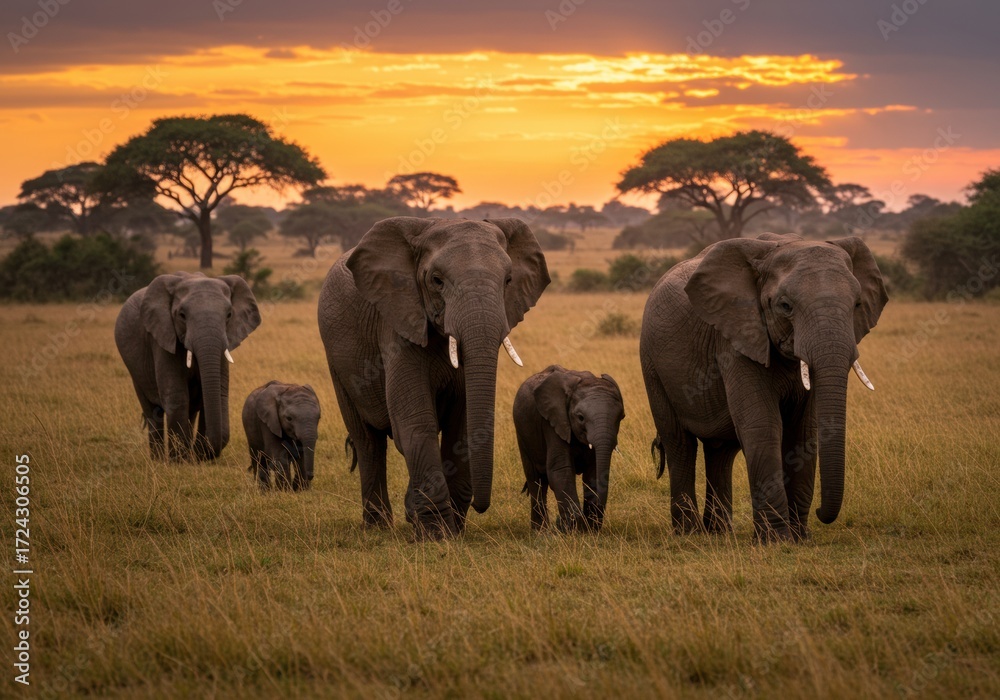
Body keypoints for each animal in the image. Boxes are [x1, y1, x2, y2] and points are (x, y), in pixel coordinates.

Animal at [115, 272, 261, 461]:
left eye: (229, 315)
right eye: (182, 315)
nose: (201, 455)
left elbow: (218, 392)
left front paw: (195, 459)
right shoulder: (162, 336)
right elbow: (177, 395)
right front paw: (180, 461)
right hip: (135, 370)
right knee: (152, 411)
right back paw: (159, 460)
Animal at [318, 217, 550, 539]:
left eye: (508, 281)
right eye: (437, 280)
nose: (480, 506)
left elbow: (461, 425)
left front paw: (451, 528)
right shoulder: (397, 324)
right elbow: (415, 420)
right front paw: (436, 535)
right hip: (337, 363)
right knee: (367, 441)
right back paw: (378, 526)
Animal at [513, 366, 625, 533]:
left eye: (621, 417)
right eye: (580, 418)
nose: (559, 523)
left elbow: (594, 470)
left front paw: (588, 531)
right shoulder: (553, 422)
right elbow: (561, 469)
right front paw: (573, 530)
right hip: (523, 434)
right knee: (535, 480)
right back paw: (540, 532)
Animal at [640, 233, 887, 542]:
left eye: (857, 305)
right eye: (785, 306)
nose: (822, 513)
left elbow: (803, 430)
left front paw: (800, 538)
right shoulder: (737, 339)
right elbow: (762, 424)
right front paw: (777, 540)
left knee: (721, 450)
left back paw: (719, 533)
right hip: (652, 364)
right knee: (679, 443)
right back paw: (689, 533)